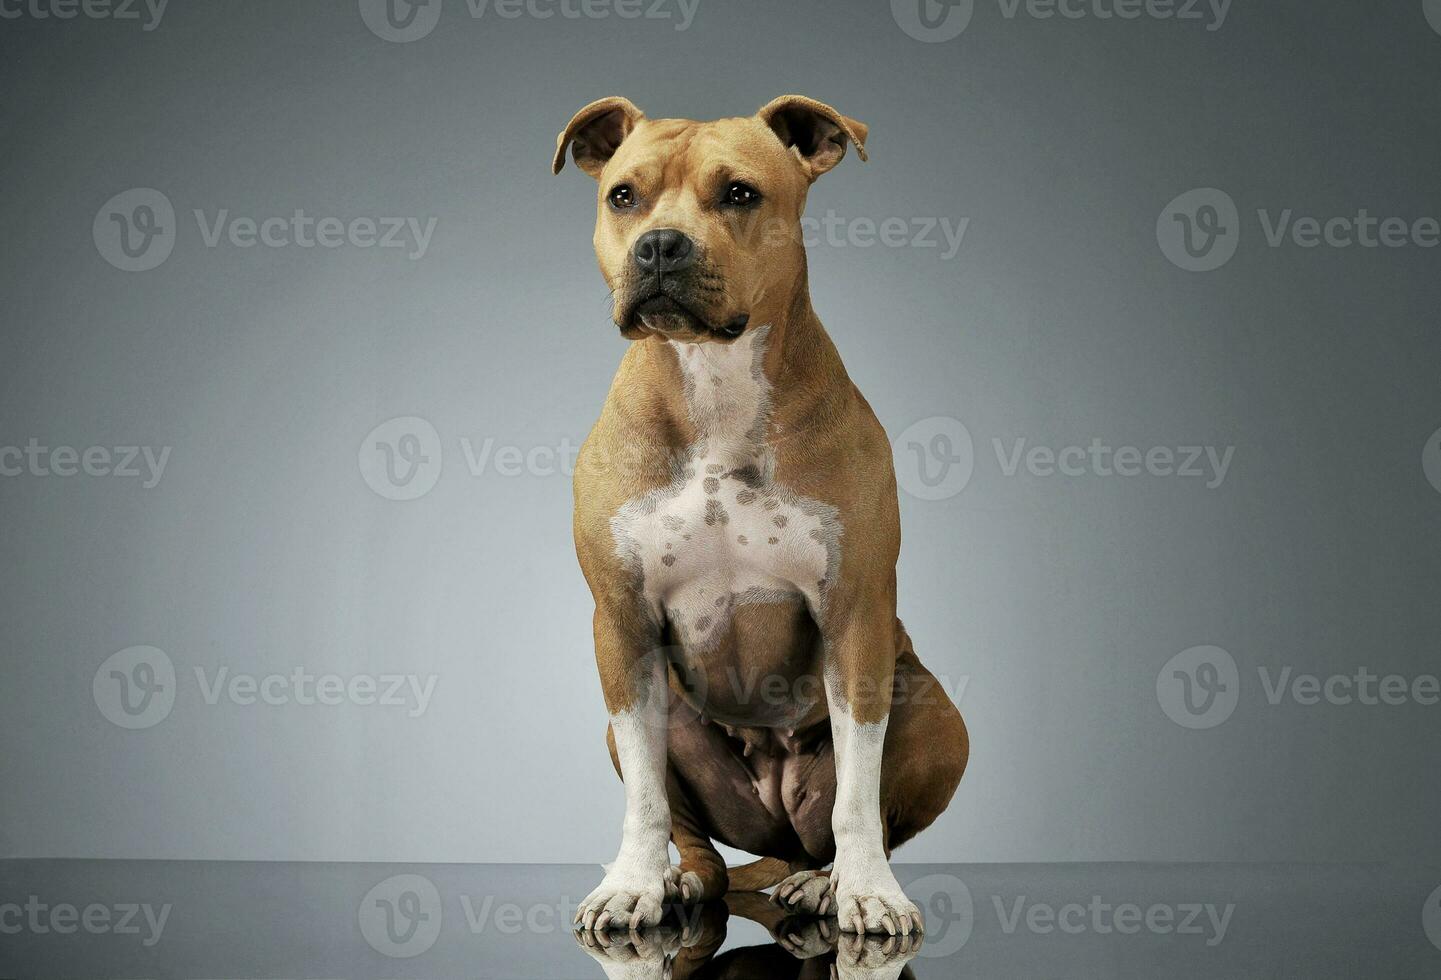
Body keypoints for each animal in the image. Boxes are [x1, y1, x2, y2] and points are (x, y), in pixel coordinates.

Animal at [559, 95, 968, 939]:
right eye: (623, 195)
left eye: (739, 194)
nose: (659, 246)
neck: (713, 382)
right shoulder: (620, 622)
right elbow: (643, 796)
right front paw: (634, 881)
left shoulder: (855, 616)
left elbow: (858, 793)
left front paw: (867, 892)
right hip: (655, 724)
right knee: (703, 849)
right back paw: (680, 879)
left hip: (936, 713)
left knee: (859, 818)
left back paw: (825, 881)